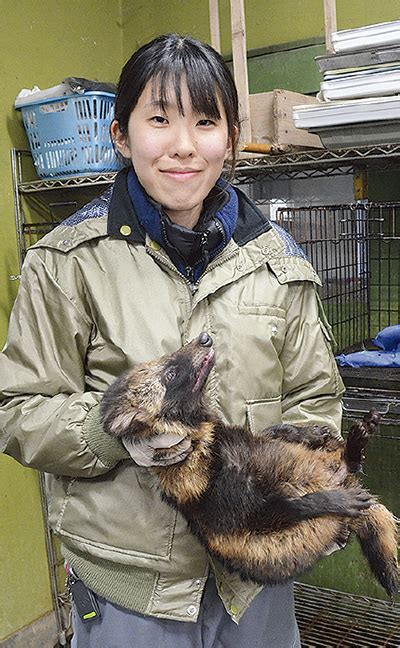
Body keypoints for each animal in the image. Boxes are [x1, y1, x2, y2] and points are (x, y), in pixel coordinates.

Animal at [100, 334, 396, 596]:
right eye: (169, 375)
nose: (204, 337)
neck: (207, 443)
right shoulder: (234, 508)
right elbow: (290, 506)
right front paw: (330, 500)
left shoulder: (244, 438)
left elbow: (273, 430)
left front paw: (308, 432)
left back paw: (357, 439)